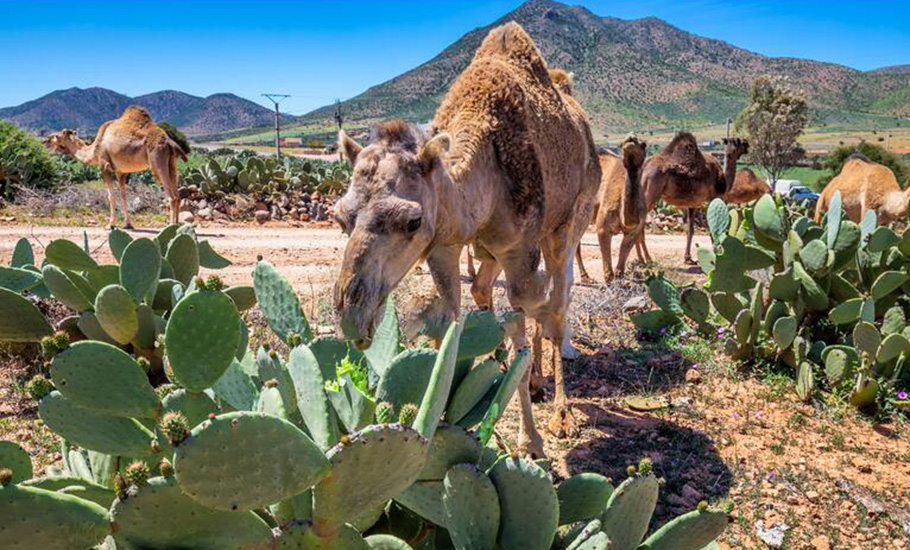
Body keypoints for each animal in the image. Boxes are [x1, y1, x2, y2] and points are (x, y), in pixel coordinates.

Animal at [45, 105, 187, 229]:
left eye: (55, 136)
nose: (45, 140)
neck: (94, 149)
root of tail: (169, 142)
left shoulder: (104, 165)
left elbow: (110, 195)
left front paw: (110, 224)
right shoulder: (120, 172)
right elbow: (123, 195)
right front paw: (128, 224)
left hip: (157, 161)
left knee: (172, 196)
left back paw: (170, 226)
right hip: (172, 164)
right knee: (177, 195)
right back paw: (178, 226)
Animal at [332, 22, 604, 462]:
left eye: (412, 220)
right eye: (340, 217)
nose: (352, 316)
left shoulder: (518, 249)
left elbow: (524, 327)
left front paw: (530, 441)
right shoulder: (445, 246)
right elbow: (450, 326)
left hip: (570, 220)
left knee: (558, 300)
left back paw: (561, 411)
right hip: (492, 251)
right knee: (493, 291)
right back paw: (538, 382)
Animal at [572, 137, 652, 284]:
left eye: (643, 145)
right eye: (622, 143)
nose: (631, 139)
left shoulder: (635, 229)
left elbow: (623, 254)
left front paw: (620, 278)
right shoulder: (603, 226)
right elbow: (608, 272)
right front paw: (609, 280)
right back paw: (585, 278)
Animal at [636, 135, 752, 266]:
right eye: (739, 141)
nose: (747, 144)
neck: (723, 181)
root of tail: (644, 167)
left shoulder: (692, 204)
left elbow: (690, 230)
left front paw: (688, 258)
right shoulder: (714, 198)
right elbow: (711, 227)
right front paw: (716, 253)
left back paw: (641, 259)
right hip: (651, 191)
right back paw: (647, 258)